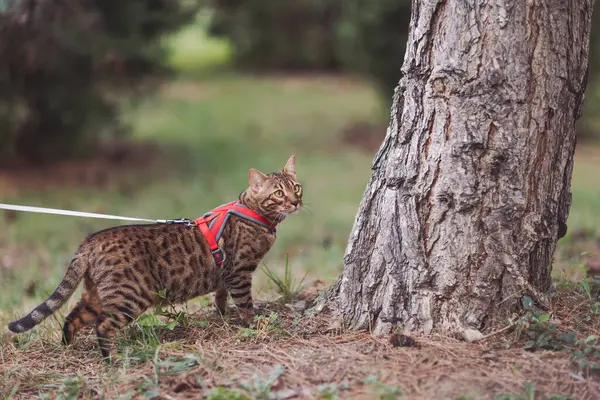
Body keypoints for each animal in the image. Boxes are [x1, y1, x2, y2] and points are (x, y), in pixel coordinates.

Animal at [7, 155, 302, 360]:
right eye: (278, 193)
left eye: (296, 187)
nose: (296, 202)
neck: (254, 213)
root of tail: (90, 241)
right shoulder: (239, 272)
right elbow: (245, 304)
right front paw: (254, 324)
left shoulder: (224, 277)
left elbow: (220, 297)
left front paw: (221, 314)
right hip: (130, 295)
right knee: (102, 326)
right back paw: (112, 360)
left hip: (96, 295)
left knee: (72, 317)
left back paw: (68, 347)